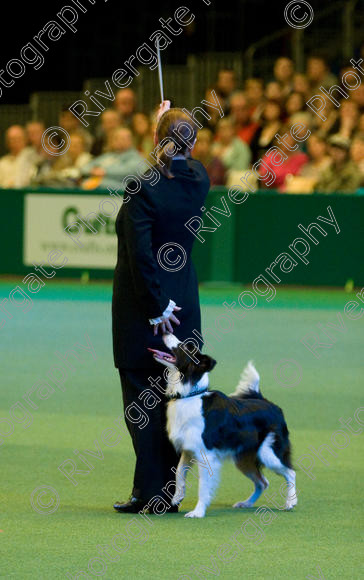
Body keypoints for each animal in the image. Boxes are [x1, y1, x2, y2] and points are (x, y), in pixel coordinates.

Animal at [149, 334, 298, 520]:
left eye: (185, 347)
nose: (165, 333)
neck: (190, 395)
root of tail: (270, 404)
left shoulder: (206, 455)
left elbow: (203, 486)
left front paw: (198, 511)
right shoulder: (188, 449)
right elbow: (179, 472)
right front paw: (178, 496)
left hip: (268, 452)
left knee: (290, 472)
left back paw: (290, 502)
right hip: (243, 459)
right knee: (263, 482)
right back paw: (247, 503)